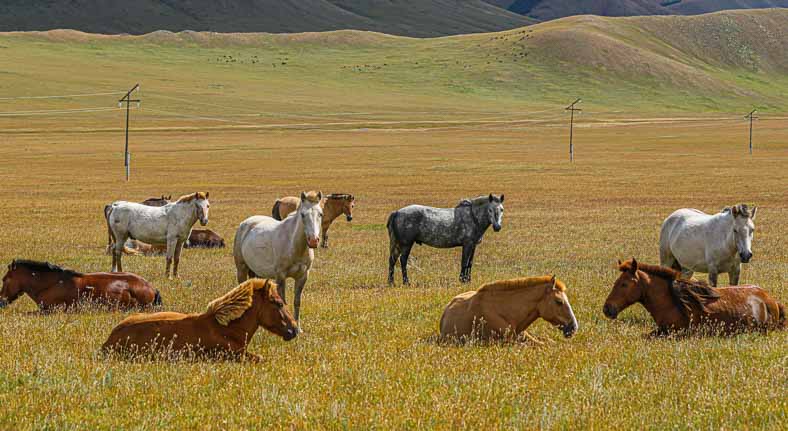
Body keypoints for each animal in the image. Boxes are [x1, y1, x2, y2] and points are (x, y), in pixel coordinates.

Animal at [232, 191, 322, 330]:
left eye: (321, 214)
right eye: (303, 215)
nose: (313, 241)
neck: (293, 245)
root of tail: (245, 223)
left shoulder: (303, 276)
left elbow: (297, 301)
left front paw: (298, 328)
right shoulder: (281, 276)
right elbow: (283, 301)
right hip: (241, 268)